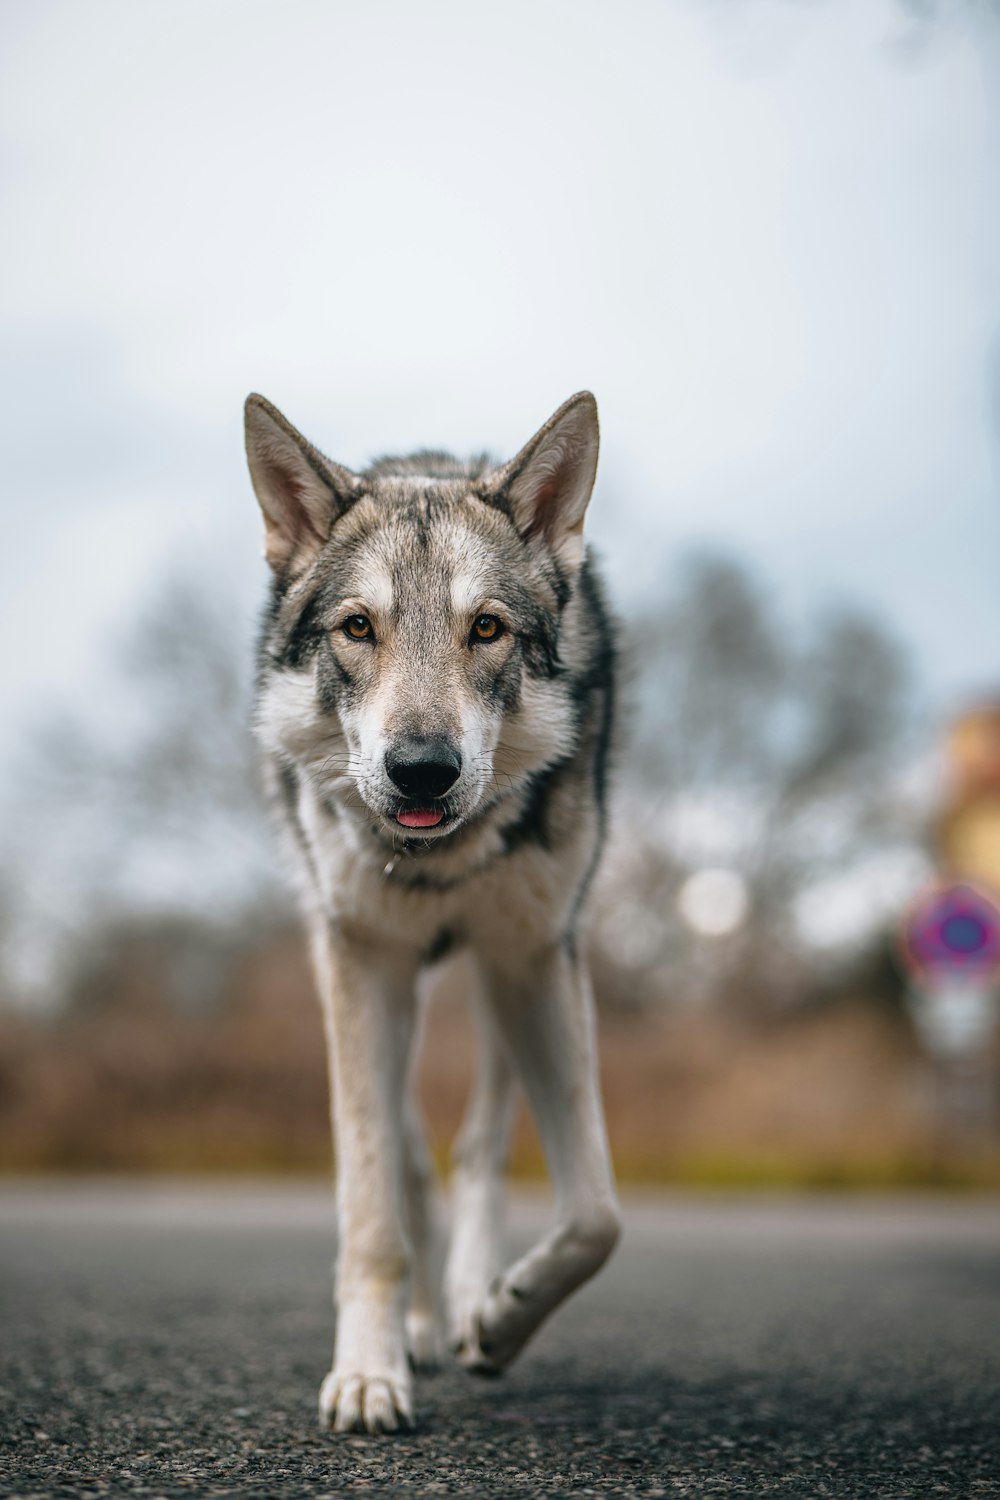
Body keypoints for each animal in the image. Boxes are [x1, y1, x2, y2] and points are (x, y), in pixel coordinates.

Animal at [244, 393, 617, 1434]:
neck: (438, 867)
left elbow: (595, 1214)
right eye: (357, 628)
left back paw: (470, 1296)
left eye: (486, 628)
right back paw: (418, 1323)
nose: (420, 770)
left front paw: (500, 1316)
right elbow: (372, 1208)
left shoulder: (536, 956)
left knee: (480, 1146)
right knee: (407, 1155)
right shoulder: (363, 965)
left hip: (498, 981)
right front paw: (369, 1374)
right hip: (372, 981)